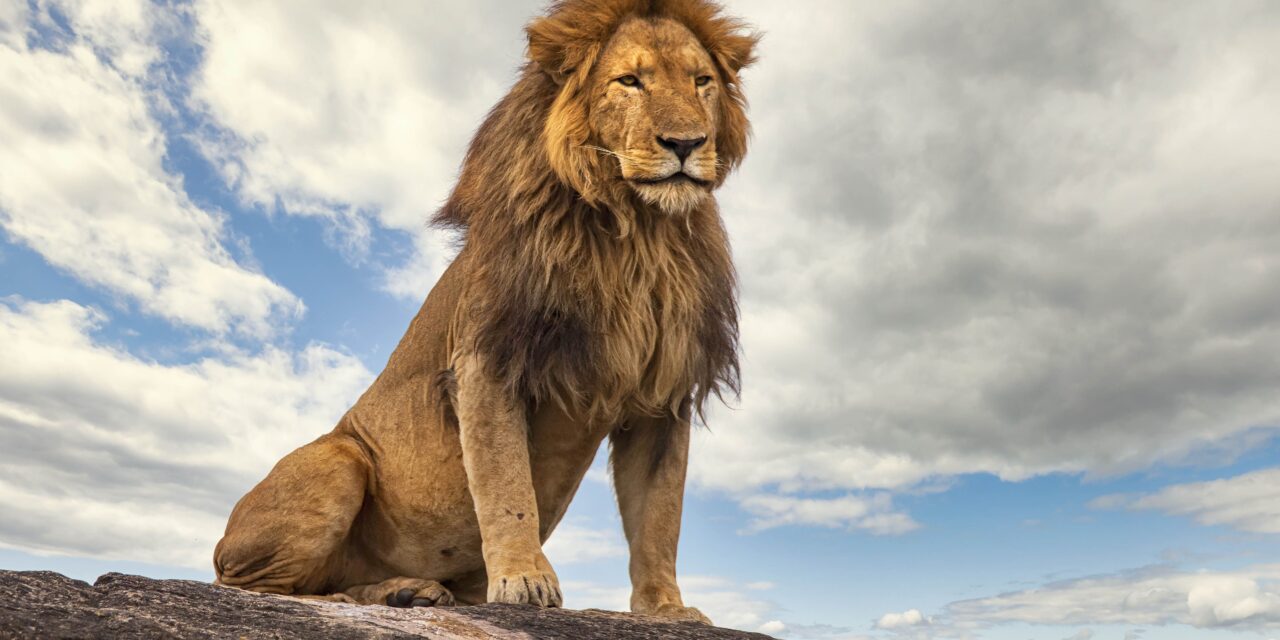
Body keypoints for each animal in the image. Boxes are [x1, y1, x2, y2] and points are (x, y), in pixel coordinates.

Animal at [213, 0, 758, 624]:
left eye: (701, 82)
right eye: (630, 81)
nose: (686, 144)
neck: (638, 234)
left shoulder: (662, 397)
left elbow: (660, 517)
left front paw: (666, 607)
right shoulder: (488, 361)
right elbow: (507, 487)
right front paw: (525, 581)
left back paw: (408, 590)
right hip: (338, 461)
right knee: (263, 590)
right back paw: (382, 593)